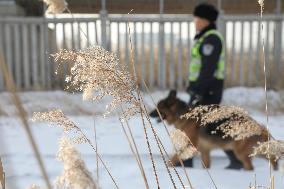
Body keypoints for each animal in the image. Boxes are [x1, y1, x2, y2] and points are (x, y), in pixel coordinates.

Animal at [150, 90, 278, 170]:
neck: (182, 114)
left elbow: (175, 157)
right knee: (270, 158)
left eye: (158, 107)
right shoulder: (205, 151)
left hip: (241, 152)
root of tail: (259, 127)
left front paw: (168, 165)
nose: (149, 114)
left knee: (252, 166)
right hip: (252, 150)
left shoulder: (191, 146)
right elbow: (205, 165)